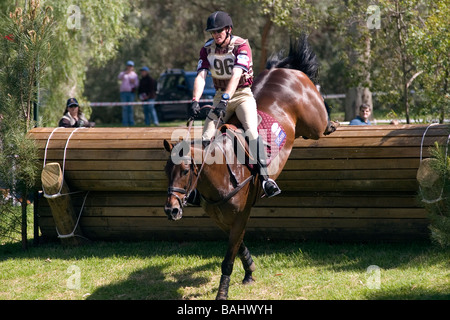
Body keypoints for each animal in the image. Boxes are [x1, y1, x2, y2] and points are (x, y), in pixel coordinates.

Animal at [163, 35, 336, 300]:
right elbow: (240, 245)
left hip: (313, 124)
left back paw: (332, 121)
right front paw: (250, 270)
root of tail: (285, 70)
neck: (222, 173)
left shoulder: (241, 216)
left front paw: (222, 293)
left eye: (184, 171)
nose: (171, 210)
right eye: (165, 171)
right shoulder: (220, 217)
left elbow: (228, 258)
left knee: (322, 120)